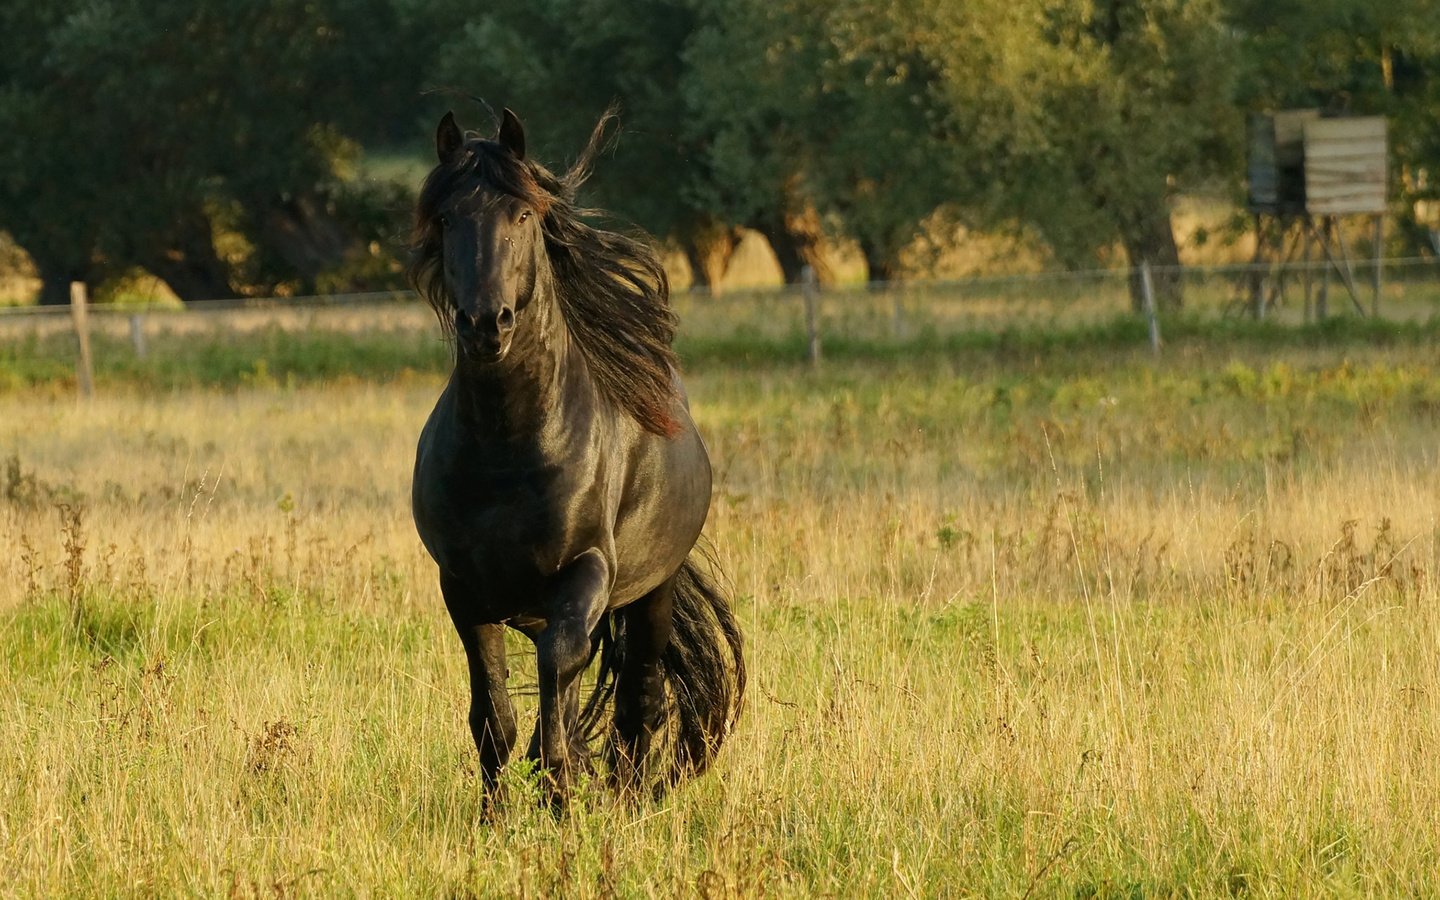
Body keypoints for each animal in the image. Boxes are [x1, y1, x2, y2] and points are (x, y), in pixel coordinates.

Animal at [406, 107, 743, 800]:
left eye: (523, 215)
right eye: (447, 218)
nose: (487, 324)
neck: (507, 449)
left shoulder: (583, 574)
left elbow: (563, 691)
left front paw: (562, 802)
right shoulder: (463, 589)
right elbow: (495, 720)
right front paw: (495, 816)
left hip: (650, 594)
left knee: (638, 701)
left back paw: (630, 801)